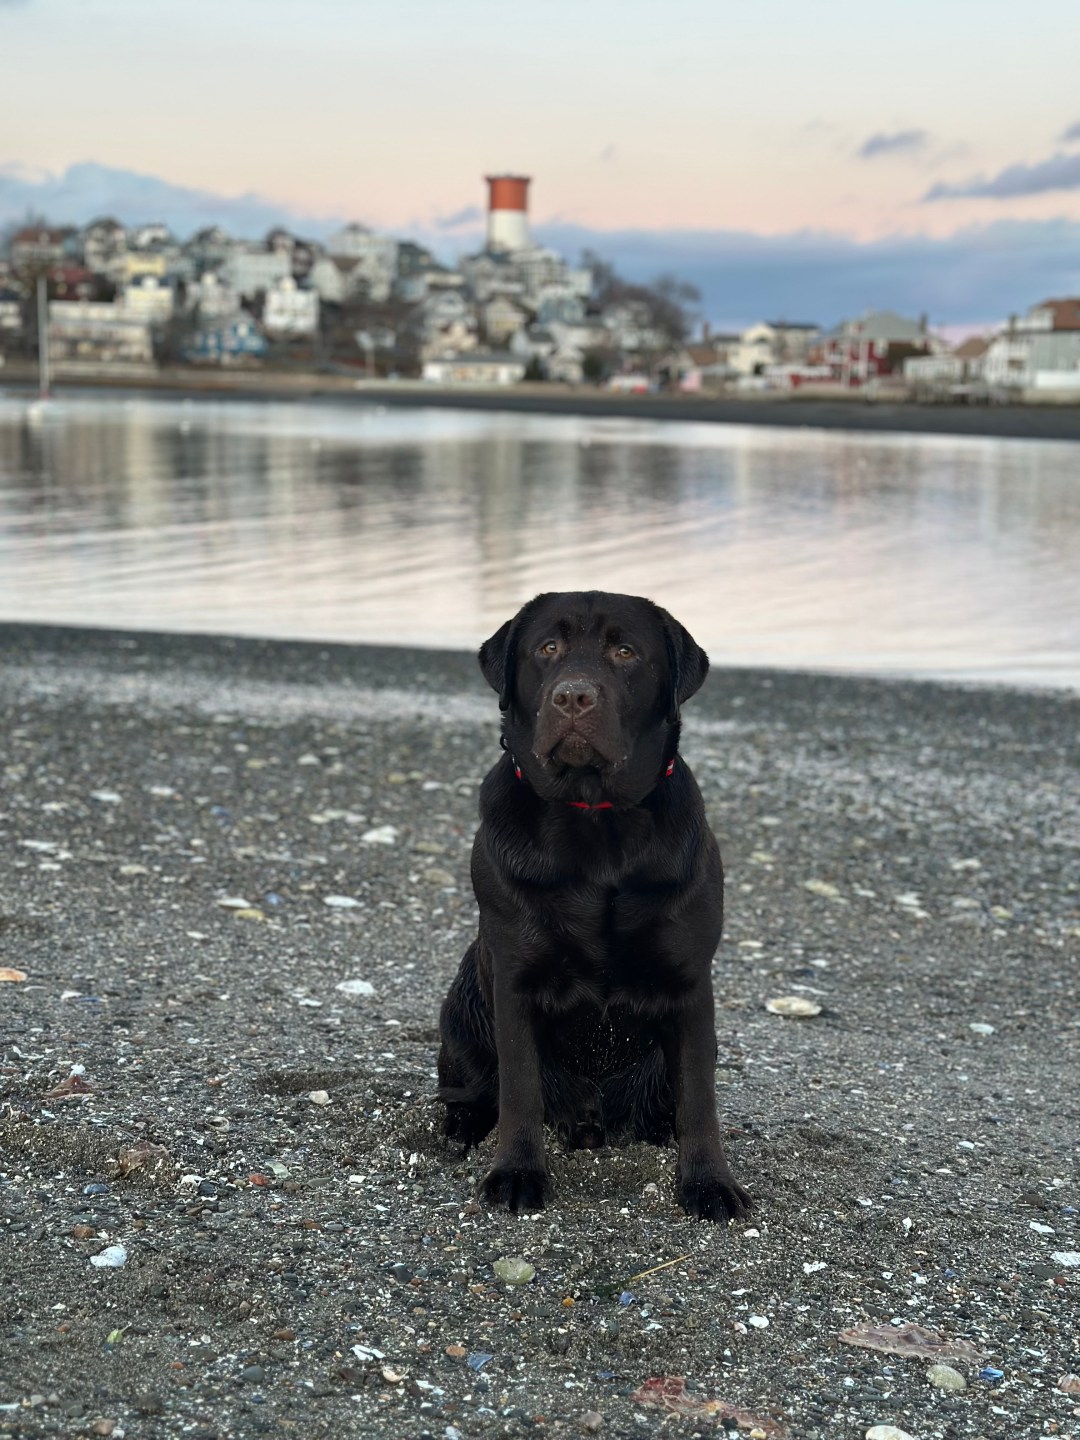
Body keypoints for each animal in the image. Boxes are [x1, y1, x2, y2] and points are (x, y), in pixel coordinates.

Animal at [436, 590, 751, 1221]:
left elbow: (699, 1099)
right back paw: (459, 1125)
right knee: (473, 1088)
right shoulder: (515, 980)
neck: (596, 823)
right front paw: (516, 1173)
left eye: (625, 652)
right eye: (547, 648)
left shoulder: (690, 987)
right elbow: (520, 1089)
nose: (574, 696)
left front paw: (708, 1183)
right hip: (460, 1007)